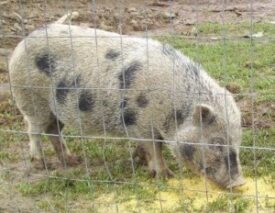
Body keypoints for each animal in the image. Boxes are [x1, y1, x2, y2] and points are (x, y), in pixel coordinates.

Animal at [8, 17, 246, 188]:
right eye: (216, 143)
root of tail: (22, 42)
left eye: (237, 142)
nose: (239, 183)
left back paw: (72, 161)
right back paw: (42, 164)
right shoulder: (141, 122)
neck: (173, 108)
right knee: (33, 130)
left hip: (55, 109)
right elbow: (155, 148)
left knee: (53, 130)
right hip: (31, 100)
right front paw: (165, 176)